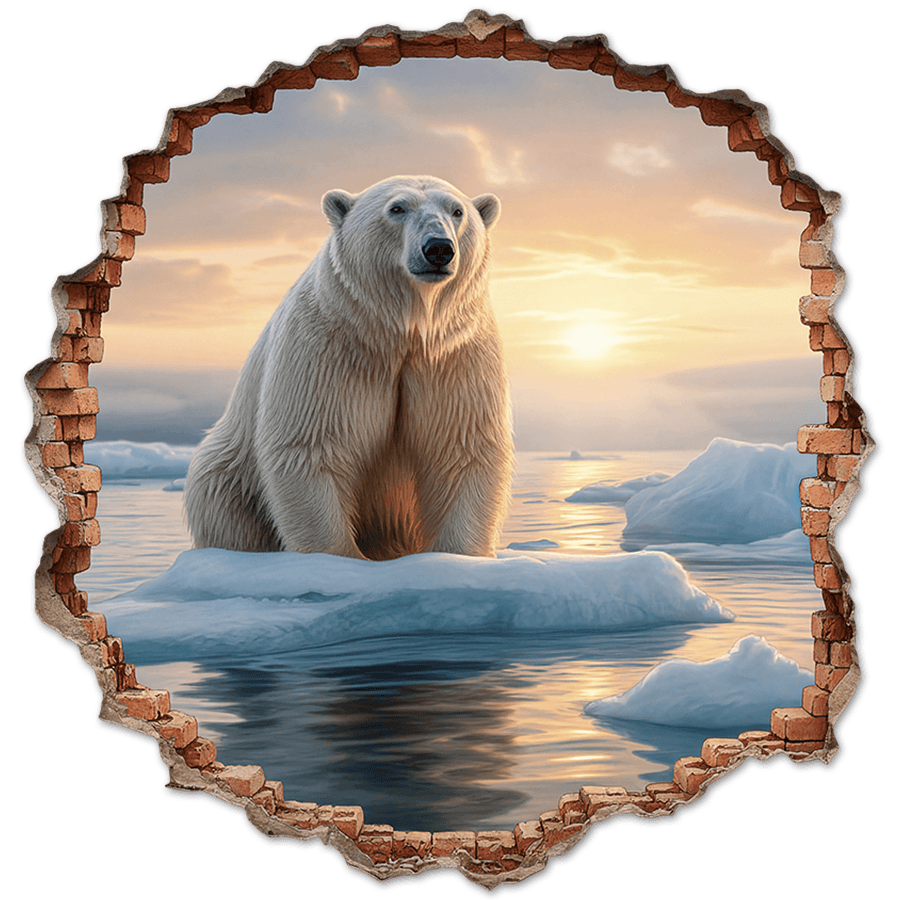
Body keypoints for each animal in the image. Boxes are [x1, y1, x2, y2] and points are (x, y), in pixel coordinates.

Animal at [183, 175, 513, 561]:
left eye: (457, 211)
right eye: (397, 208)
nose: (438, 249)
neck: (400, 329)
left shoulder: (453, 353)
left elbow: (464, 447)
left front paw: (455, 555)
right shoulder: (330, 347)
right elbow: (311, 445)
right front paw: (340, 558)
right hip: (230, 471)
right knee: (222, 500)